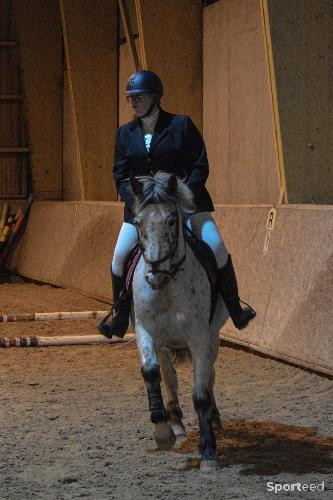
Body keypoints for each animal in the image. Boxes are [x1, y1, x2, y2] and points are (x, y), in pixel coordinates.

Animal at [127, 172, 228, 472]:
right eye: (138, 222)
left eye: (172, 220)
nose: (155, 274)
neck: (168, 286)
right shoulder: (145, 330)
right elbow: (151, 373)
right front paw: (162, 433)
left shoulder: (200, 337)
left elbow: (201, 393)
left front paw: (209, 453)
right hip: (163, 343)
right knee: (168, 375)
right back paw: (176, 423)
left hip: (212, 338)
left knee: (209, 376)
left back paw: (214, 419)